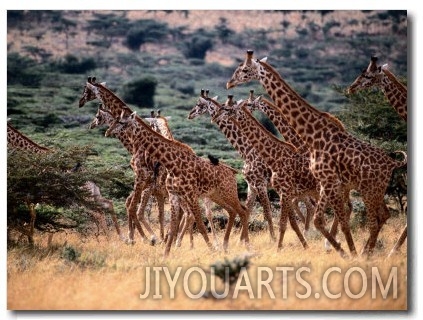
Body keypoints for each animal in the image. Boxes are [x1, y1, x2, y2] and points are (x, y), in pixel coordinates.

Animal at [78, 77, 252, 255]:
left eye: (86, 90)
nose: (80, 102)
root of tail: (232, 170)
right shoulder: (164, 192)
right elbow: (157, 215)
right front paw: (158, 244)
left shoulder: (147, 182)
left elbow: (137, 209)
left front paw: (149, 239)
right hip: (214, 195)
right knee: (230, 211)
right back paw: (222, 244)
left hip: (221, 193)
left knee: (234, 211)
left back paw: (235, 244)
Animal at [187, 89, 276, 240]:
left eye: (199, 104)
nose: (190, 114)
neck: (248, 151)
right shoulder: (251, 185)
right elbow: (248, 210)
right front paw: (242, 240)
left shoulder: (260, 184)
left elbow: (267, 213)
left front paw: (273, 240)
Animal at [227, 50, 410, 258]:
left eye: (244, 69)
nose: (229, 84)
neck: (312, 136)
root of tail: (392, 162)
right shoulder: (323, 184)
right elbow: (317, 219)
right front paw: (339, 249)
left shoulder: (325, 183)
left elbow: (331, 219)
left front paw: (345, 252)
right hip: (368, 189)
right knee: (381, 215)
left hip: (371, 189)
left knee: (374, 219)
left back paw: (371, 253)